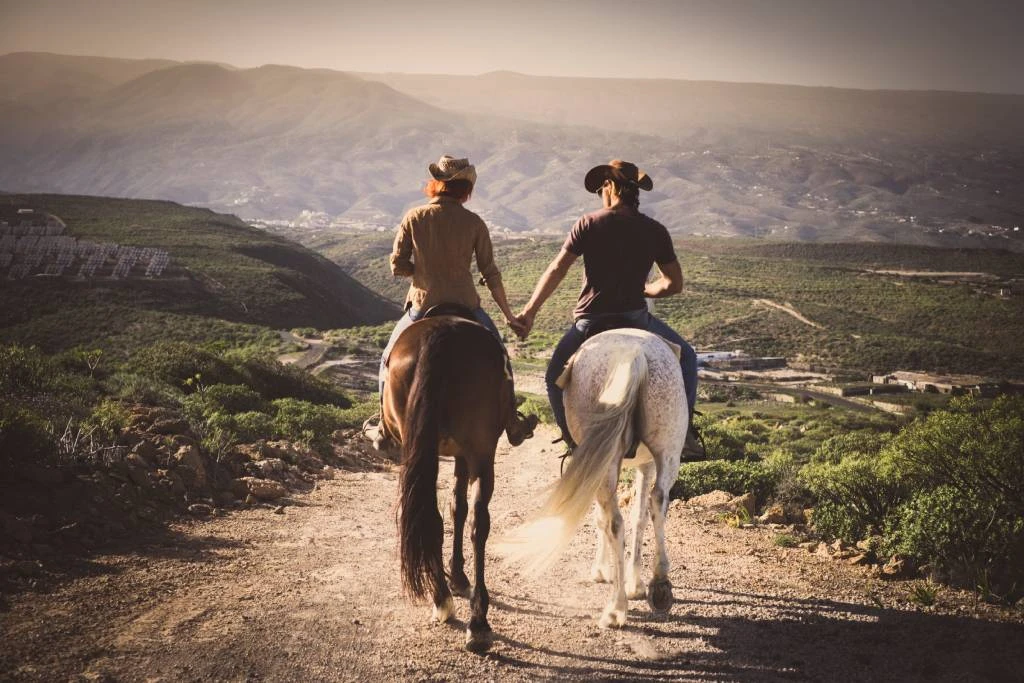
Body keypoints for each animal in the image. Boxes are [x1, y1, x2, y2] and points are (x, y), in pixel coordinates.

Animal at [380, 315, 512, 651]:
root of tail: (440, 332)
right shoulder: (464, 455)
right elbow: (459, 508)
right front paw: (459, 575)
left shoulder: (459, 455)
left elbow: (455, 509)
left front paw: (457, 576)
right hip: (481, 451)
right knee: (478, 522)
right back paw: (475, 619)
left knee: (434, 518)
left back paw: (446, 601)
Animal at [497, 327, 688, 626]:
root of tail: (634, 355)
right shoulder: (644, 464)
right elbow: (640, 516)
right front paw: (635, 583)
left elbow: (605, 519)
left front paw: (604, 572)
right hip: (666, 451)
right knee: (657, 502)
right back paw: (659, 585)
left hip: (609, 462)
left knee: (615, 522)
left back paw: (617, 606)